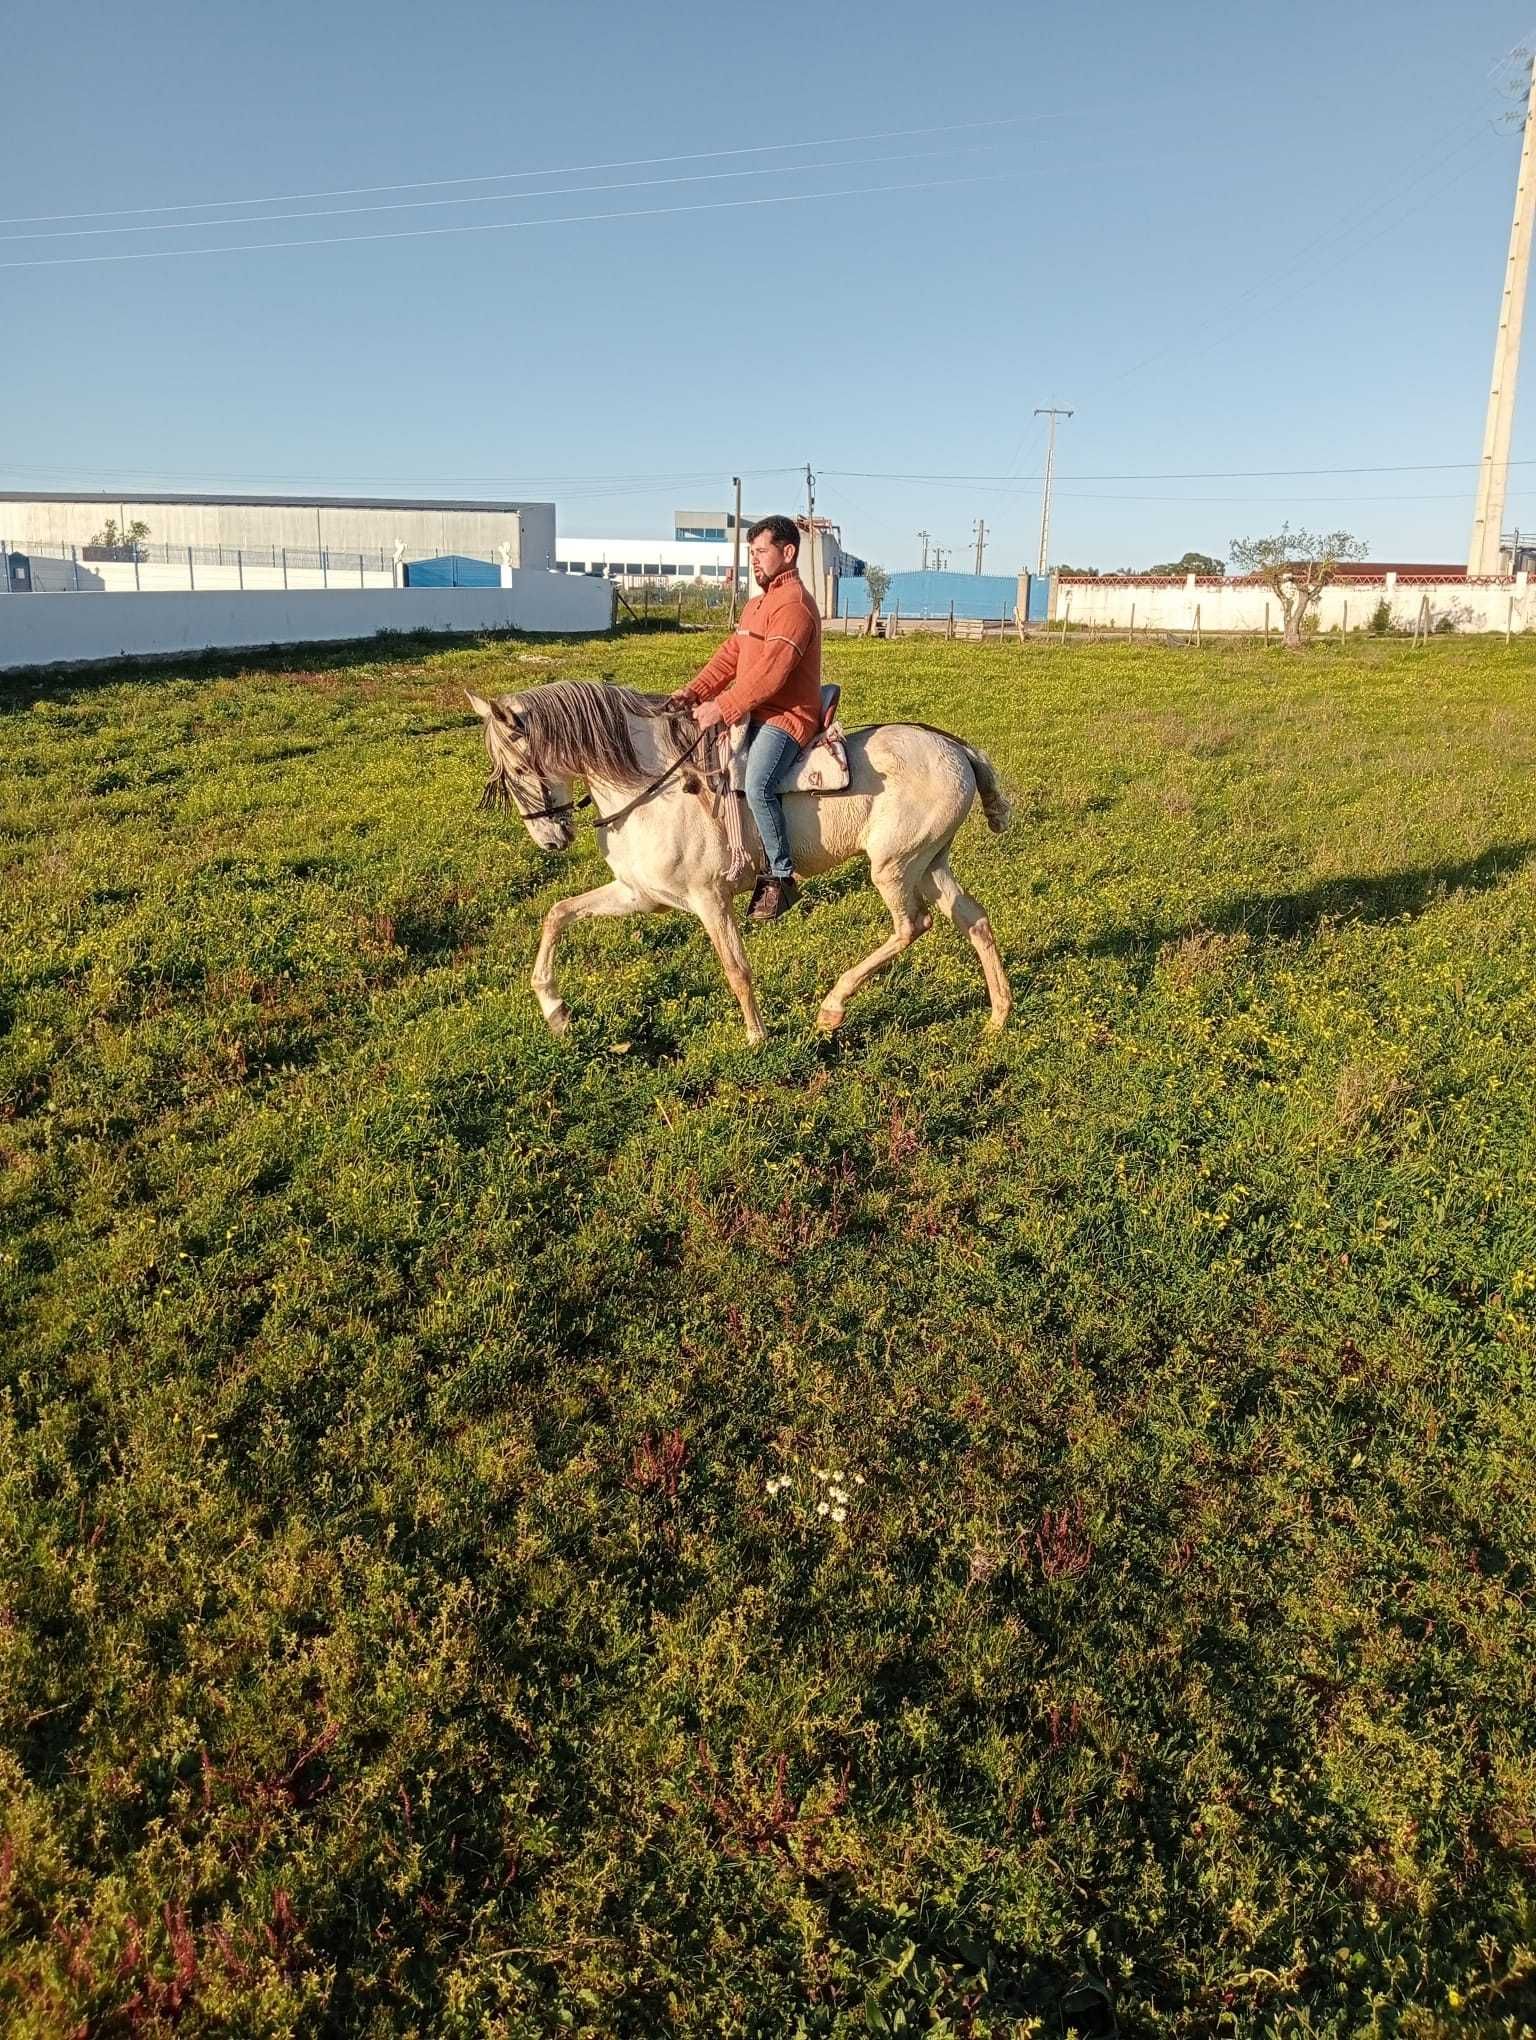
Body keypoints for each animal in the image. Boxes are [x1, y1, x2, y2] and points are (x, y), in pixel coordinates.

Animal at [467, 681, 1019, 1044]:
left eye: (516, 770)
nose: (550, 839)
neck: (654, 789)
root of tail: (954, 746)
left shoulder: (710, 899)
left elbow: (735, 968)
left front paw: (757, 1037)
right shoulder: (638, 896)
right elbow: (556, 914)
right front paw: (554, 1008)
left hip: (894, 866)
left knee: (912, 925)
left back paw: (832, 1007)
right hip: (930, 862)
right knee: (973, 919)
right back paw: (998, 1016)